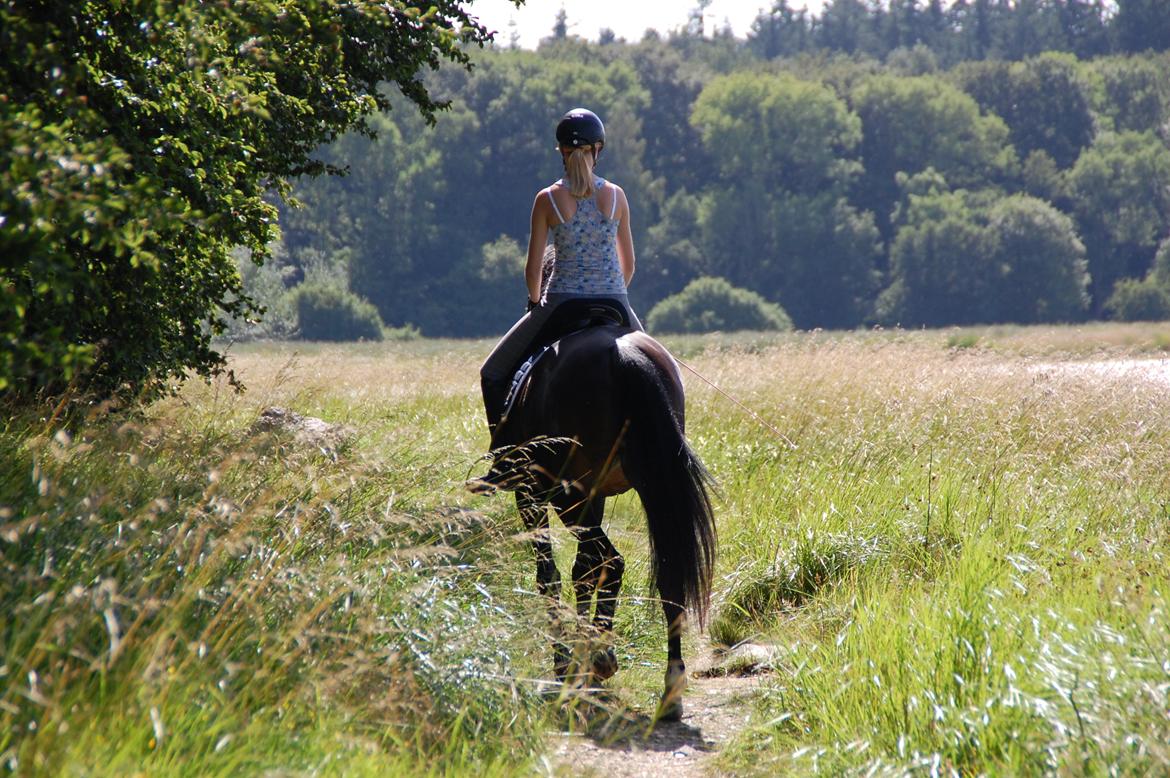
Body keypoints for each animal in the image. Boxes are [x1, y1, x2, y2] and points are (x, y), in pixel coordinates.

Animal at [472, 304, 711, 720]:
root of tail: (624, 357)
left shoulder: (532, 495)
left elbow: (550, 576)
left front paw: (566, 665)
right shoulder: (594, 496)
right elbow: (583, 572)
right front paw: (582, 660)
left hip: (568, 497)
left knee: (611, 562)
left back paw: (600, 659)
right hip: (650, 486)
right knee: (664, 572)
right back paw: (669, 688)